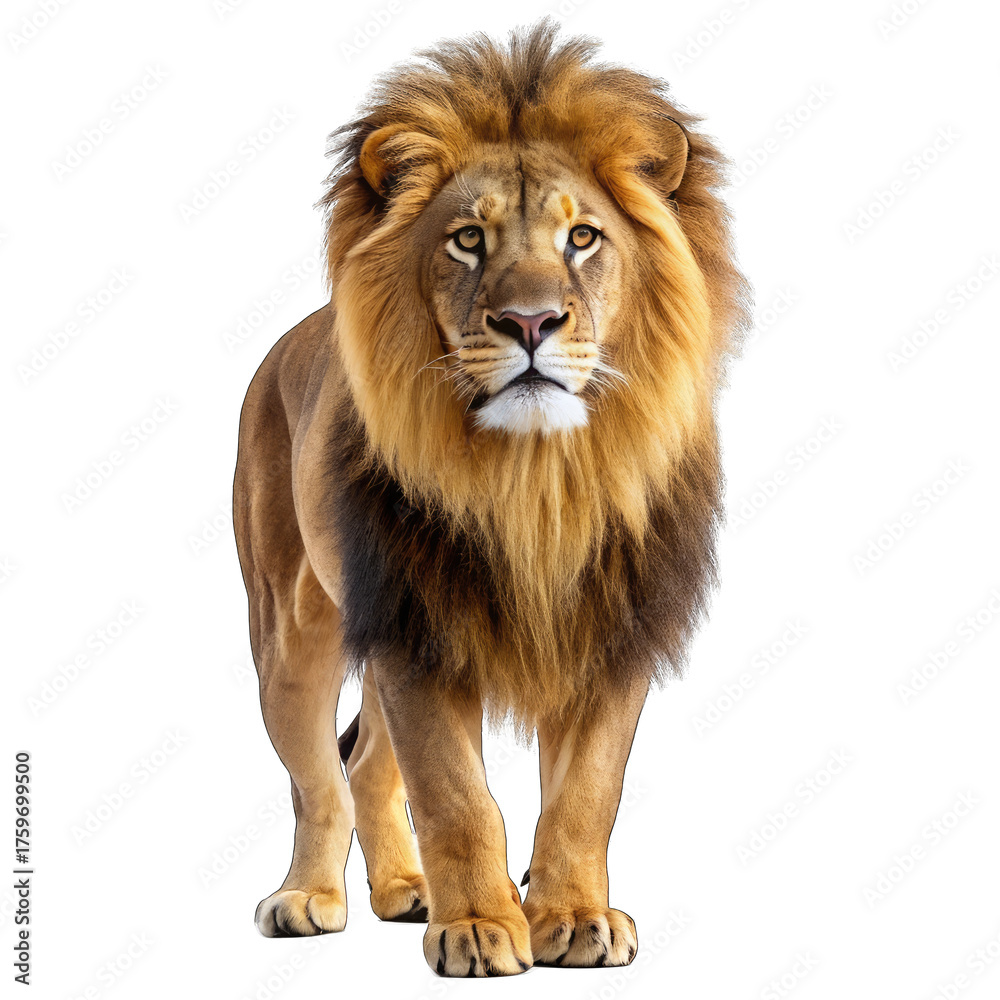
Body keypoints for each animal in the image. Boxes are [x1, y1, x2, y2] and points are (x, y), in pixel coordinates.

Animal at [233, 22, 747, 977]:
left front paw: (574, 918)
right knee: (319, 780)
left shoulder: (613, 629)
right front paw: (476, 927)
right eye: (468, 240)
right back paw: (307, 898)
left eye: (582, 237)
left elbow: (585, 795)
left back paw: (407, 891)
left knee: (366, 764)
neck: (535, 480)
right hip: (291, 632)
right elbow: (454, 797)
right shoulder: (415, 628)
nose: (531, 323)